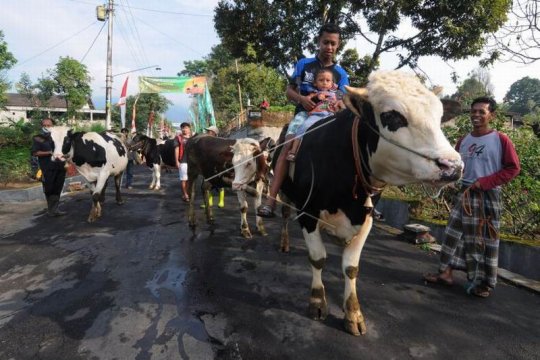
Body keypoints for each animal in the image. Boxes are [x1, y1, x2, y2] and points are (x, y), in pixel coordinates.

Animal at [278, 70, 464, 334]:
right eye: (391, 116)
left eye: (439, 117)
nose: (452, 166)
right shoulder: (307, 212)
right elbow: (318, 258)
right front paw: (317, 302)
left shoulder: (365, 217)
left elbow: (351, 267)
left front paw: (353, 314)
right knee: (283, 215)